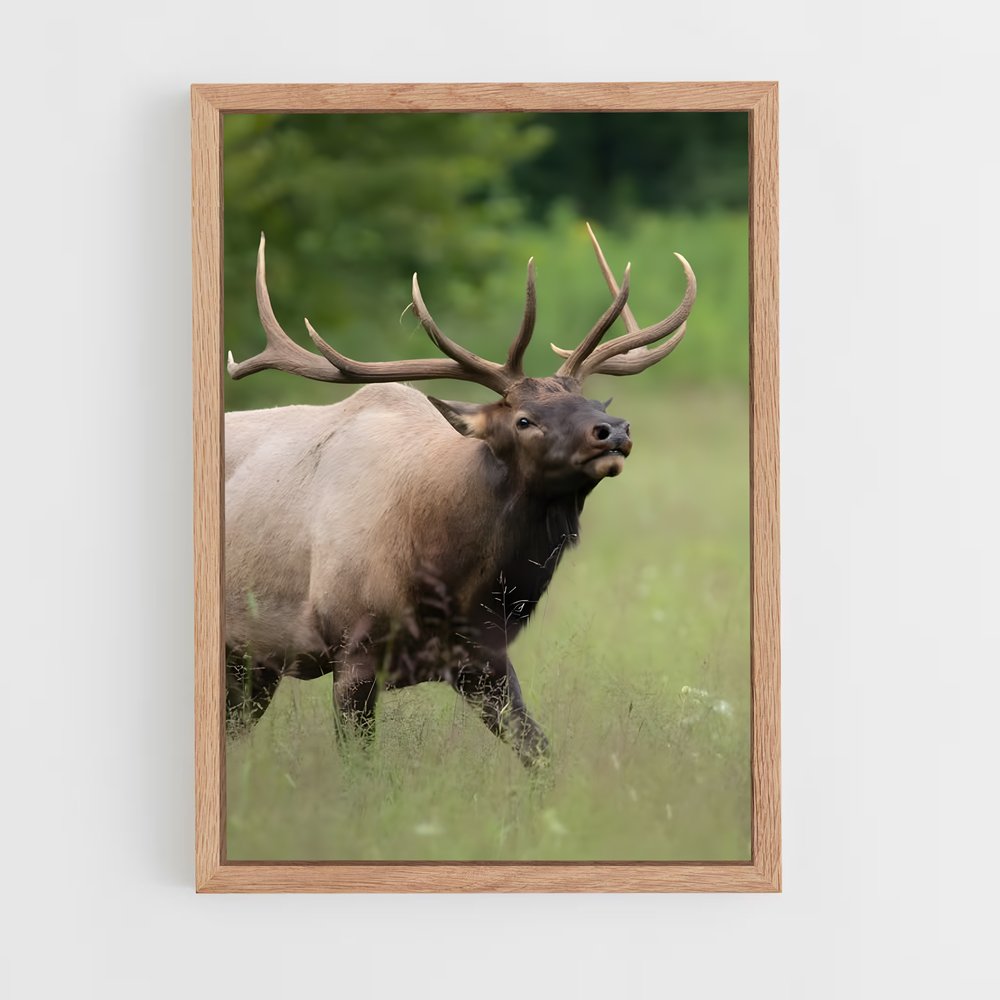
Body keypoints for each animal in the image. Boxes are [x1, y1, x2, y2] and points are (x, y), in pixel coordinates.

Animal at [225, 225, 696, 767]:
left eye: (593, 402)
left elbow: (540, 753)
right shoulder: (353, 650)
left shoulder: (482, 658)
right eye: (524, 419)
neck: (449, 577)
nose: (613, 430)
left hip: (254, 662)